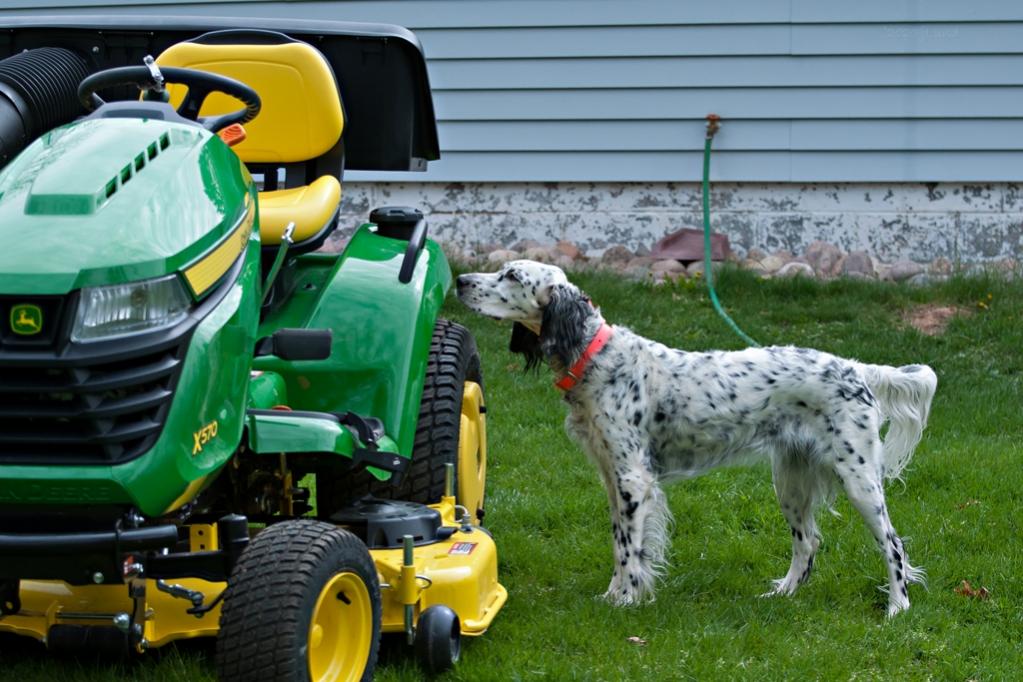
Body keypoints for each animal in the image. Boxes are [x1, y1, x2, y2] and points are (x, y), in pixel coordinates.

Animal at [460, 258, 937, 617]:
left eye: (511, 275)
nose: (462, 281)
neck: (597, 356)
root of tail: (855, 367)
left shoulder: (632, 479)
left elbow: (630, 549)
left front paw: (627, 601)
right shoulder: (612, 479)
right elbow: (619, 543)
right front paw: (613, 594)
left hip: (858, 478)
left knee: (892, 544)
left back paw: (897, 608)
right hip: (790, 482)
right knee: (808, 542)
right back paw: (781, 594)